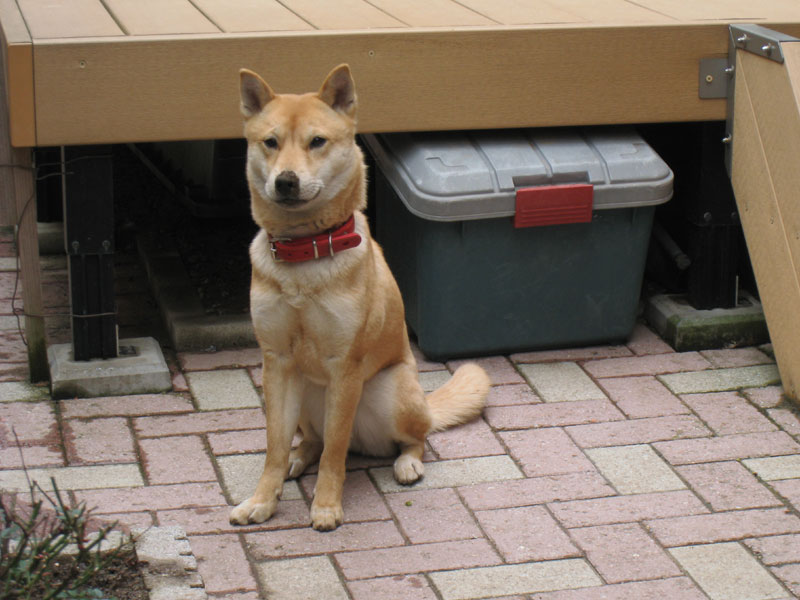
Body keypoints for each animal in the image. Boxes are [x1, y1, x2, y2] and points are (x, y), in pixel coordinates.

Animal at [229, 64, 491, 531]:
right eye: (270, 142)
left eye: (317, 141)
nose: (286, 181)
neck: (304, 257)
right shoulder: (276, 363)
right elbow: (274, 446)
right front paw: (262, 500)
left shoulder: (345, 367)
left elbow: (335, 452)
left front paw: (326, 505)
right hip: (305, 394)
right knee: (312, 440)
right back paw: (298, 459)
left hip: (392, 393)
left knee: (410, 439)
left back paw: (407, 463)